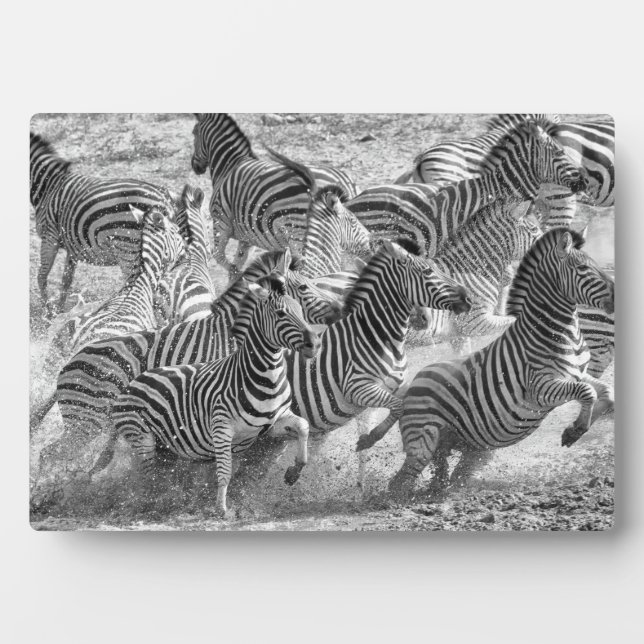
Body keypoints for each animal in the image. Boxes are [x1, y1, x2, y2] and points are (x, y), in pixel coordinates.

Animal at [30, 132, 179, 315]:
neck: (48, 186)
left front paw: (49, 311)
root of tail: (164, 199)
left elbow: (42, 276)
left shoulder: (49, 235)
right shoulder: (72, 244)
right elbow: (66, 280)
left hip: (130, 251)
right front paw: (59, 310)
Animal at [96, 275, 320, 518]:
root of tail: (132, 383)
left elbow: (303, 426)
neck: (262, 376)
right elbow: (225, 471)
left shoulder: (272, 422)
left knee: (160, 475)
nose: (315, 344)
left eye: (300, 310)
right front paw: (221, 509)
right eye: (280, 314)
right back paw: (152, 506)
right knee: (149, 477)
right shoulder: (221, 428)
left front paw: (294, 471)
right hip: (142, 437)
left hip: (166, 447)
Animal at [190, 113, 358, 278]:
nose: (195, 166)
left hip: (299, 233)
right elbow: (237, 264)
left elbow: (219, 257)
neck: (229, 165)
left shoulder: (220, 220)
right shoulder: (247, 236)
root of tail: (346, 180)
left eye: (194, 133)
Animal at [389, 227, 615, 499]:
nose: (617, 294)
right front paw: (576, 430)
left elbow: (604, 392)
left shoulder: (578, 373)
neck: (554, 331)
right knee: (399, 484)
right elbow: (587, 391)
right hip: (422, 440)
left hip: (460, 444)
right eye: (582, 268)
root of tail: (410, 385)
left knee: (443, 474)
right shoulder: (540, 388)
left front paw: (582, 426)